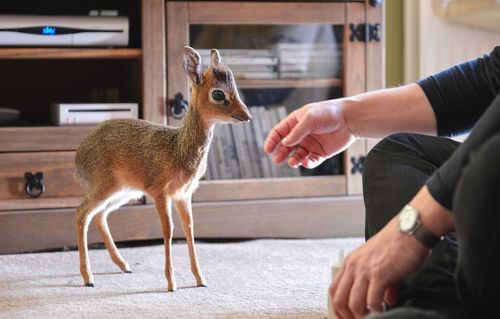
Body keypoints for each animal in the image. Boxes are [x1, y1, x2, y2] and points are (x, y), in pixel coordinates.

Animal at [74, 46, 252, 292]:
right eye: (218, 94)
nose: (247, 116)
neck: (179, 148)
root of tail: (78, 158)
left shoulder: (183, 195)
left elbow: (189, 229)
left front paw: (200, 279)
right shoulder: (161, 193)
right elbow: (168, 231)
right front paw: (171, 283)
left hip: (123, 192)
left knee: (99, 215)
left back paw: (124, 265)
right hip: (104, 187)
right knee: (82, 214)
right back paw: (88, 278)